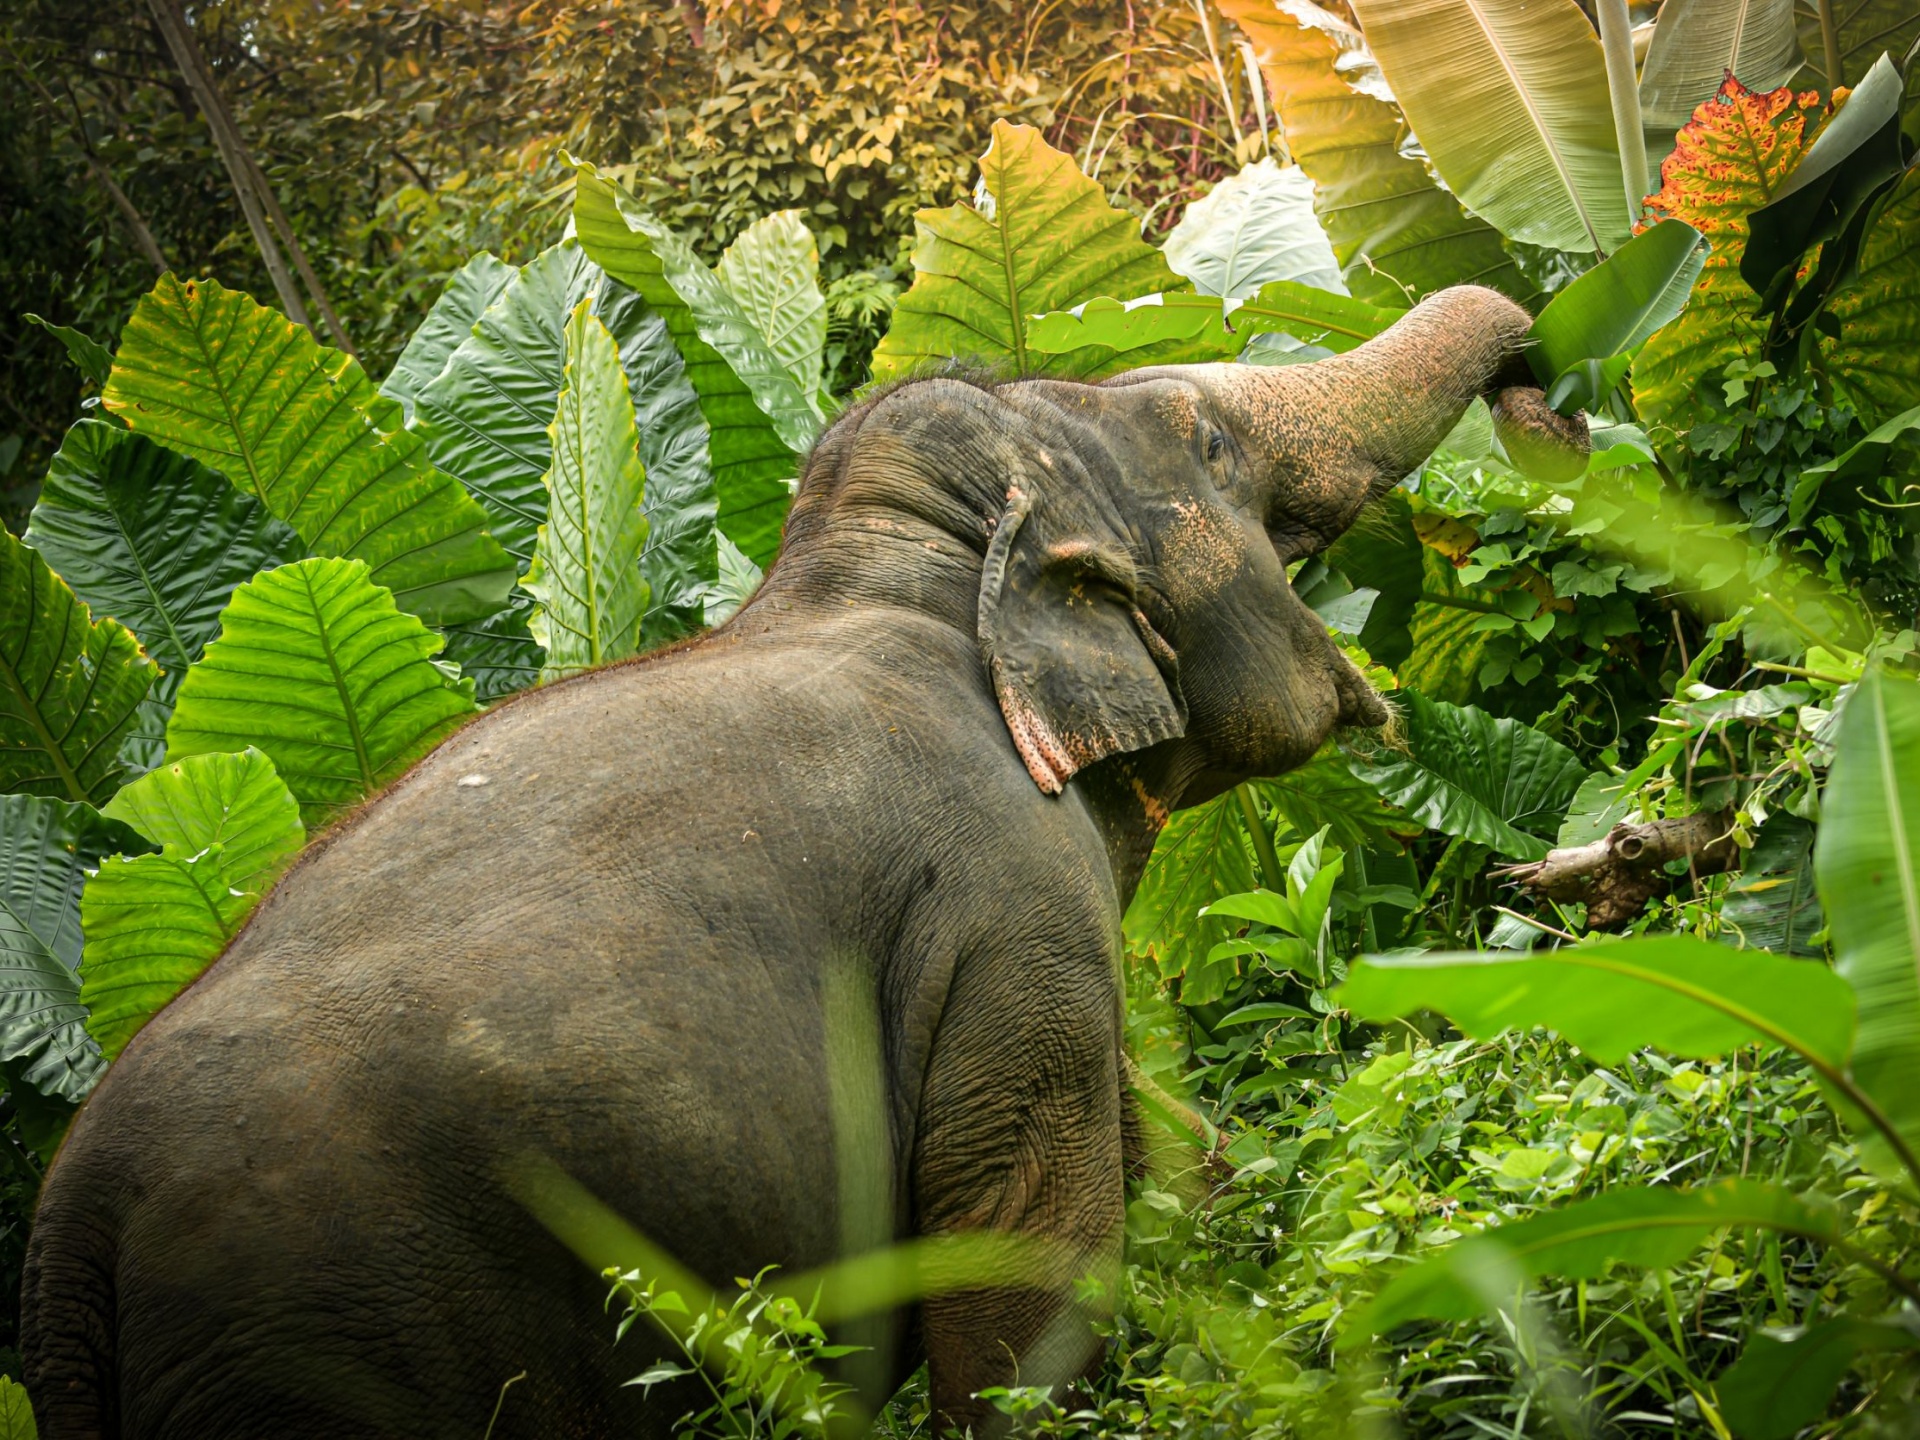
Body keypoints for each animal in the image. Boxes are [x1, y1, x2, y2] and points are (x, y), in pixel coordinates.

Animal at [21, 284, 1585, 1439]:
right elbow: (1024, 1260)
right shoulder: (1010, 898)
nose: (1551, 397)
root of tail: (69, 1252)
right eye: (1199, 436)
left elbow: (1163, 1156)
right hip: (342, 1341)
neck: (902, 578)